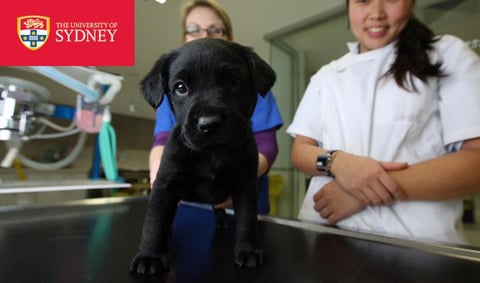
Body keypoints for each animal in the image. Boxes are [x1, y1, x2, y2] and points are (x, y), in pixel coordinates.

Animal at [129, 38, 276, 276]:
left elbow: (247, 220)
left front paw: (248, 250)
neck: (211, 154)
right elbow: (153, 223)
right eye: (180, 88)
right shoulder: (163, 186)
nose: (209, 123)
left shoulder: (245, 185)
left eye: (235, 81)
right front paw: (149, 256)